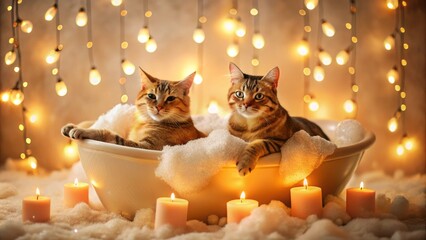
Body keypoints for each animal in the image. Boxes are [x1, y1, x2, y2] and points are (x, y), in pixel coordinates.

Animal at [60, 68, 206, 150]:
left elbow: (108, 134)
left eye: (170, 98)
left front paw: (82, 130)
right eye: (151, 96)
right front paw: (72, 126)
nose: (158, 107)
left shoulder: (150, 147)